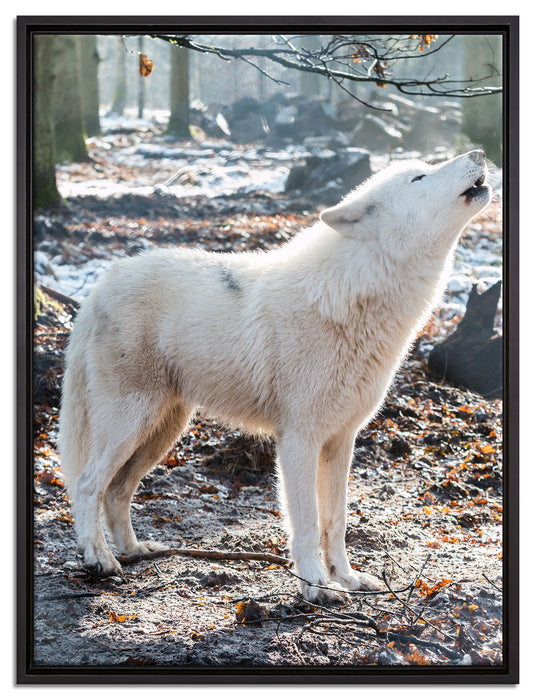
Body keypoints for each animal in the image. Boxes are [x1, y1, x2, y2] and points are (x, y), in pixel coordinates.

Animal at [58, 150, 491, 603]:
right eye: (419, 177)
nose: (479, 154)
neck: (355, 294)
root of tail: (101, 284)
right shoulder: (298, 439)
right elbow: (306, 523)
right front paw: (316, 587)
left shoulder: (341, 441)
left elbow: (336, 521)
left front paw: (347, 578)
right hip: (131, 424)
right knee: (87, 485)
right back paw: (99, 559)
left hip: (162, 432)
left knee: (117, 490)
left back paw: (132, 550)